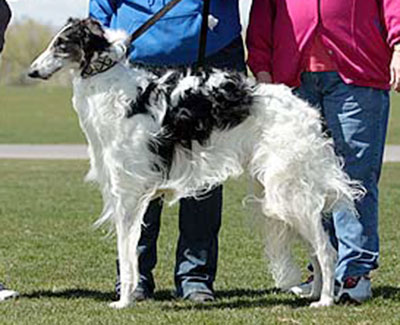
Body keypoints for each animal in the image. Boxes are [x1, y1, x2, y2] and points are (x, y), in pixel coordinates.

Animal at [28, 18, 362, 308]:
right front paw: (130, 296)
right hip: (287, 196)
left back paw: (325, 300)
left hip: (288, 192)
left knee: (326, 250)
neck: (111, 86)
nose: (31, 72)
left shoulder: (129, 192)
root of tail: (308, 112)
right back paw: (315, 293)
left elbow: (127, 253)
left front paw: (123, 301)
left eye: (61, 44)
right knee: (316, 250)